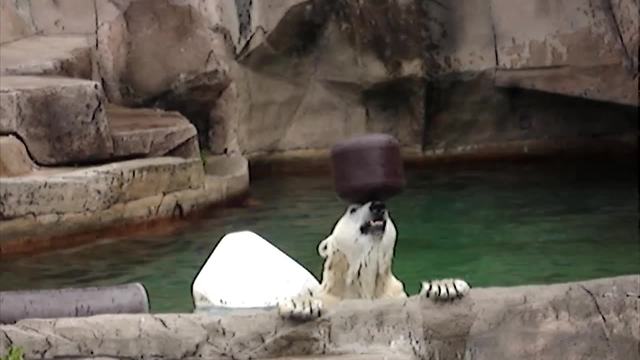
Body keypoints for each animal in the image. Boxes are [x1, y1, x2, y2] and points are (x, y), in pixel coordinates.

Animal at [278, 200, 468, 320]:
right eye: (353, 210)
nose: (378, 206)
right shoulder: (329, 297)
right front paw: (301, 305)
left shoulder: (394, 294)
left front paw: (445, 286)